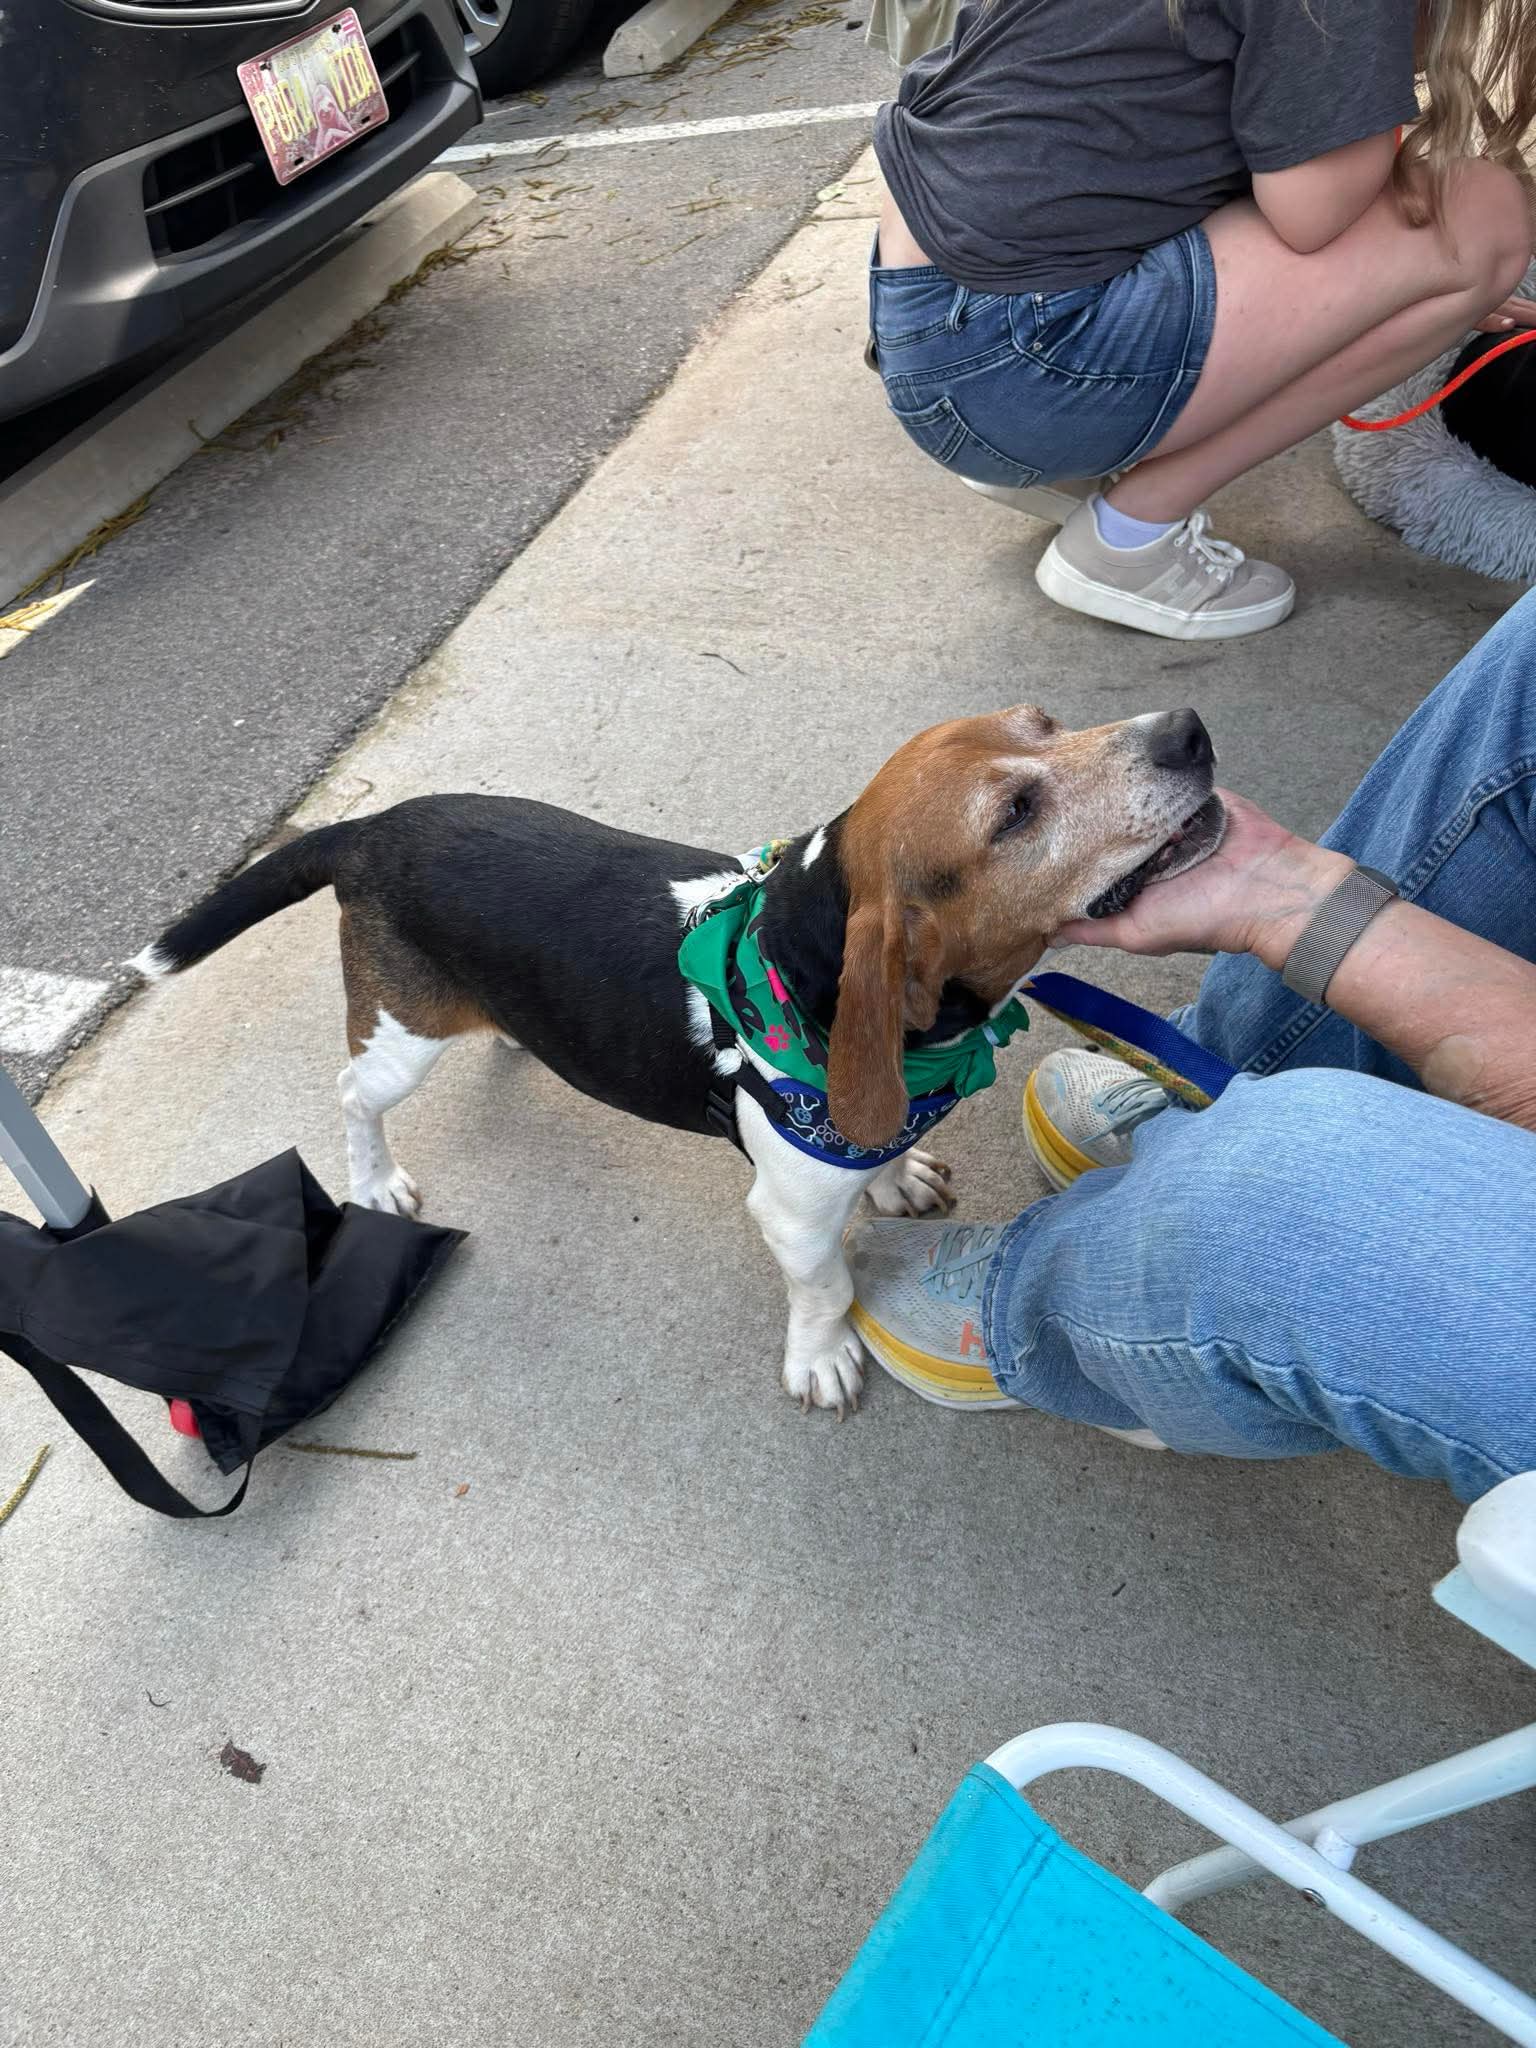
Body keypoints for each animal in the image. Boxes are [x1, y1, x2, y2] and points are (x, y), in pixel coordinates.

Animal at [133, 704, 1223, 1416]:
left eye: (1045, 719)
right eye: (1014, 814)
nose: (1186, 730)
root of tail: (371, 826)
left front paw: (895, 1176)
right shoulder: (789, 1213)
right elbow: (826, 1285)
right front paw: (822, 1357)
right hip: (403, 1037)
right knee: (354, 1093)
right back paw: (373, 1179)